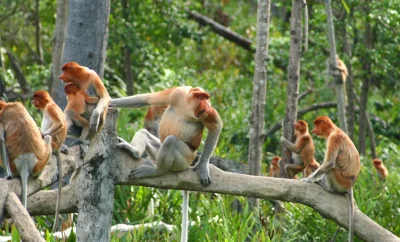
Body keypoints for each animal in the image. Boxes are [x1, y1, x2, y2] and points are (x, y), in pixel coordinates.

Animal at [109, 87, 222, 242]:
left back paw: (156, 170)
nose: (207, 105)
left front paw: (203, 166)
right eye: (201, 97)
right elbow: (146, 99)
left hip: (184, 158)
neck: (188, 106)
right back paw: (135, 152)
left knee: (170, 142)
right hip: (157, 150)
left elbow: (216, 124)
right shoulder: (177, 93)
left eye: (206, 98)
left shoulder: (206, 112)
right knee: (144, 132)